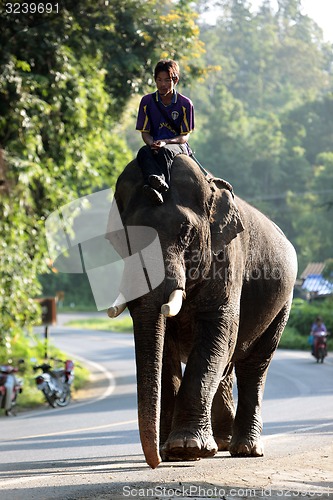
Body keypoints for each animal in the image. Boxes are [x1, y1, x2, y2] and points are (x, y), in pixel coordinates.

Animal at [105, 155, 296, 468]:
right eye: (122, 239)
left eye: (186, 231)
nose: (154, 462)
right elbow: (167, 345)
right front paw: (172, 451)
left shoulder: (228, 259)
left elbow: (218, 329)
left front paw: (185, 448)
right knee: (227, 366)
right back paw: (222, 443)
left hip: (283, 303)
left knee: (254, 364)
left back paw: (245, 449)